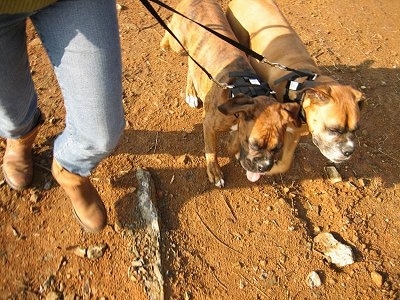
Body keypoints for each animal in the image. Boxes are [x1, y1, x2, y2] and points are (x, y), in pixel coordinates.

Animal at [159, 0, 300, 186]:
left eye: (277, 148)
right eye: (254, 144)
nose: (264, 167)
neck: (246, 88)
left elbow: (233, 141)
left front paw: (233, 147)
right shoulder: (209, 125)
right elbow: (211, 150)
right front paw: (214, 171)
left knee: (191, 65)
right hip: (177, 45)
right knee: (170, 38)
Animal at [227, 0, 364, 173]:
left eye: (355, 129)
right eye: (333, 129)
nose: (349, 151)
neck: (300, 84)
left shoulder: (294, 133)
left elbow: (285, 163)